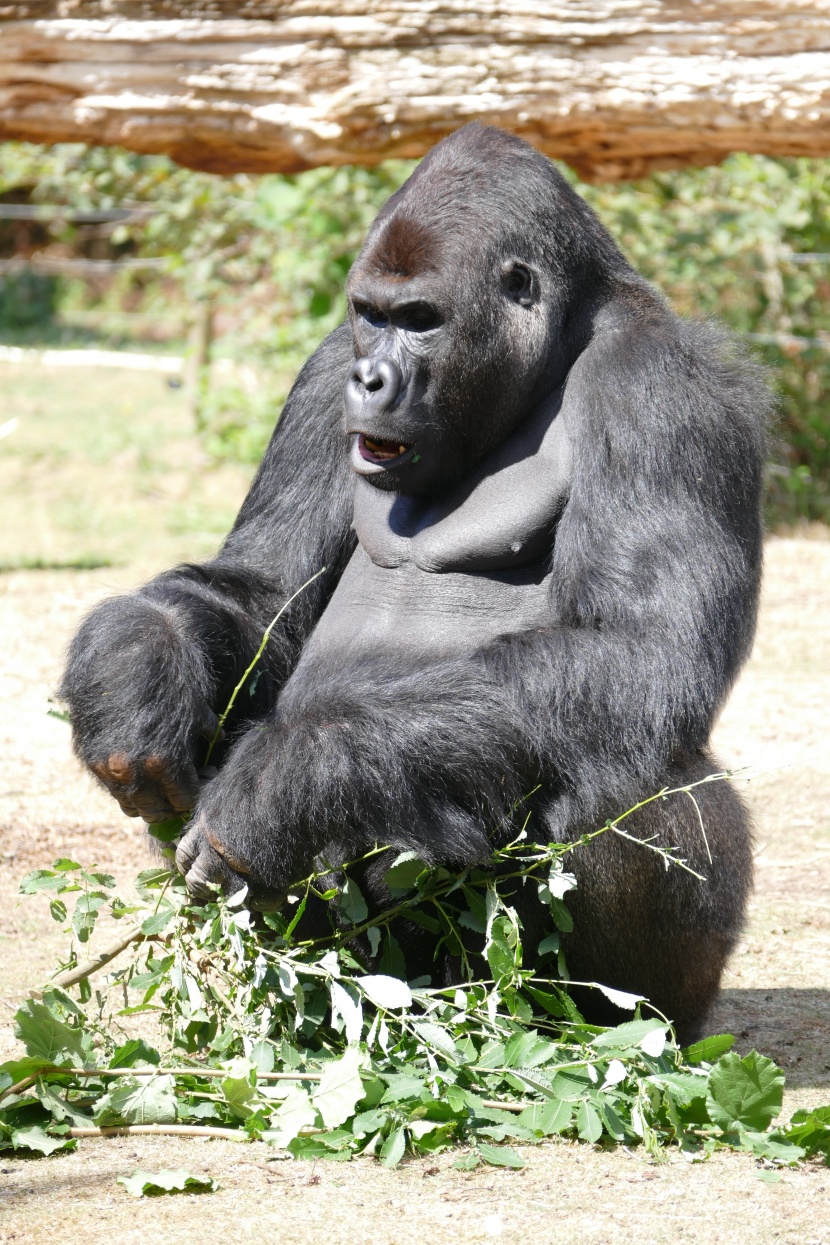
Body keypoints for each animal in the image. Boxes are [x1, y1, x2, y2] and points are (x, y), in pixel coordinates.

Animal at [61, 126, 771, 1040]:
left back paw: (600, 1026)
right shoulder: (325, 368)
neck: (549, 356)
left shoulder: (659, 387)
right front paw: (136, 668)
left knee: (618, 759)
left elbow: (642, 652)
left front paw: (293, 778)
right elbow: (259, 594)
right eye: (371, 315)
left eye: (421, 320)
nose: (372, 380)